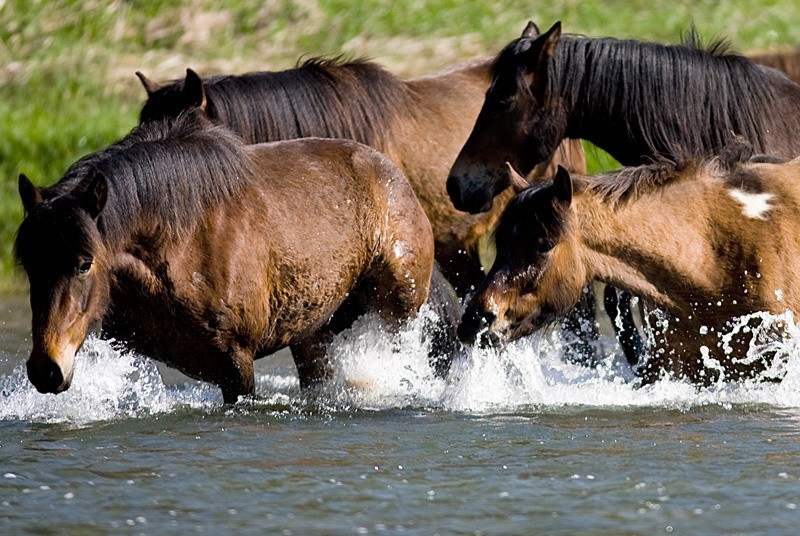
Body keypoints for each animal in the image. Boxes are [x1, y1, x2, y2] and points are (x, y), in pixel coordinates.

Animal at [15, 111, 440, 402]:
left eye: (84, 263)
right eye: (30, 265)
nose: (45, 369)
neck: (179, 245)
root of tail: (394, 176)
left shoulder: (236, 363)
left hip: (396, 313)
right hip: (314, 333)